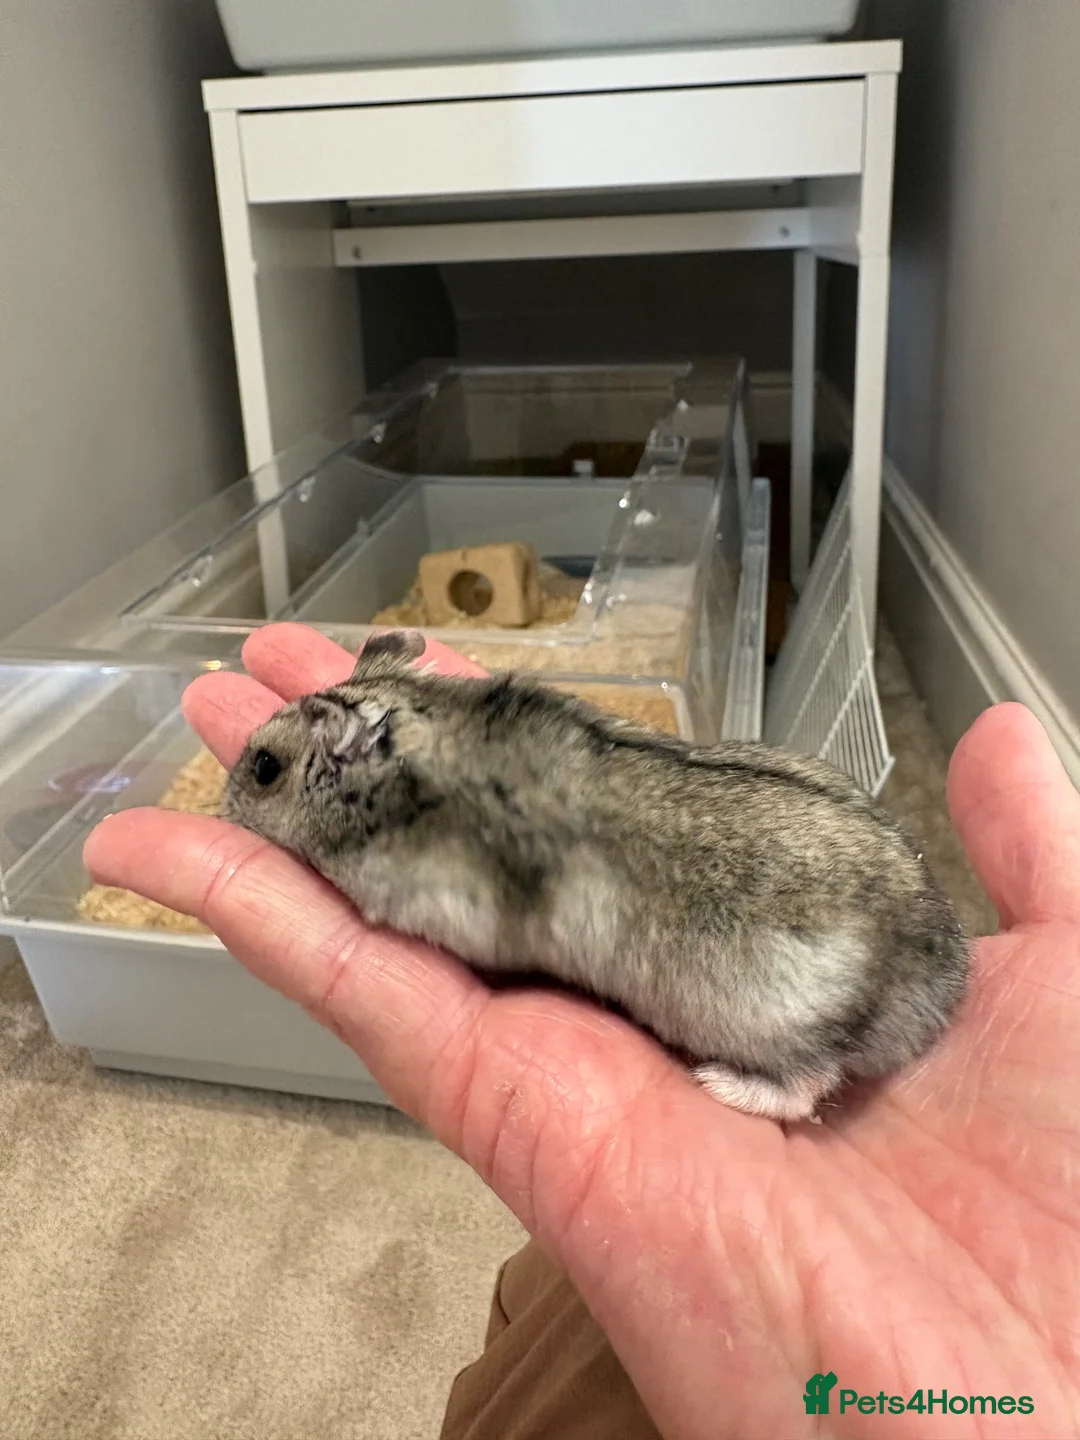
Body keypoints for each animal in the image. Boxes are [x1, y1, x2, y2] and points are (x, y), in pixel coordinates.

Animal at [223, 630, 970, 1122]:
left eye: (263, 767)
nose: (223, 805)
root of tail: (944, 980)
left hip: (771, 1017)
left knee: (808, 1086)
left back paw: (716, 1084)